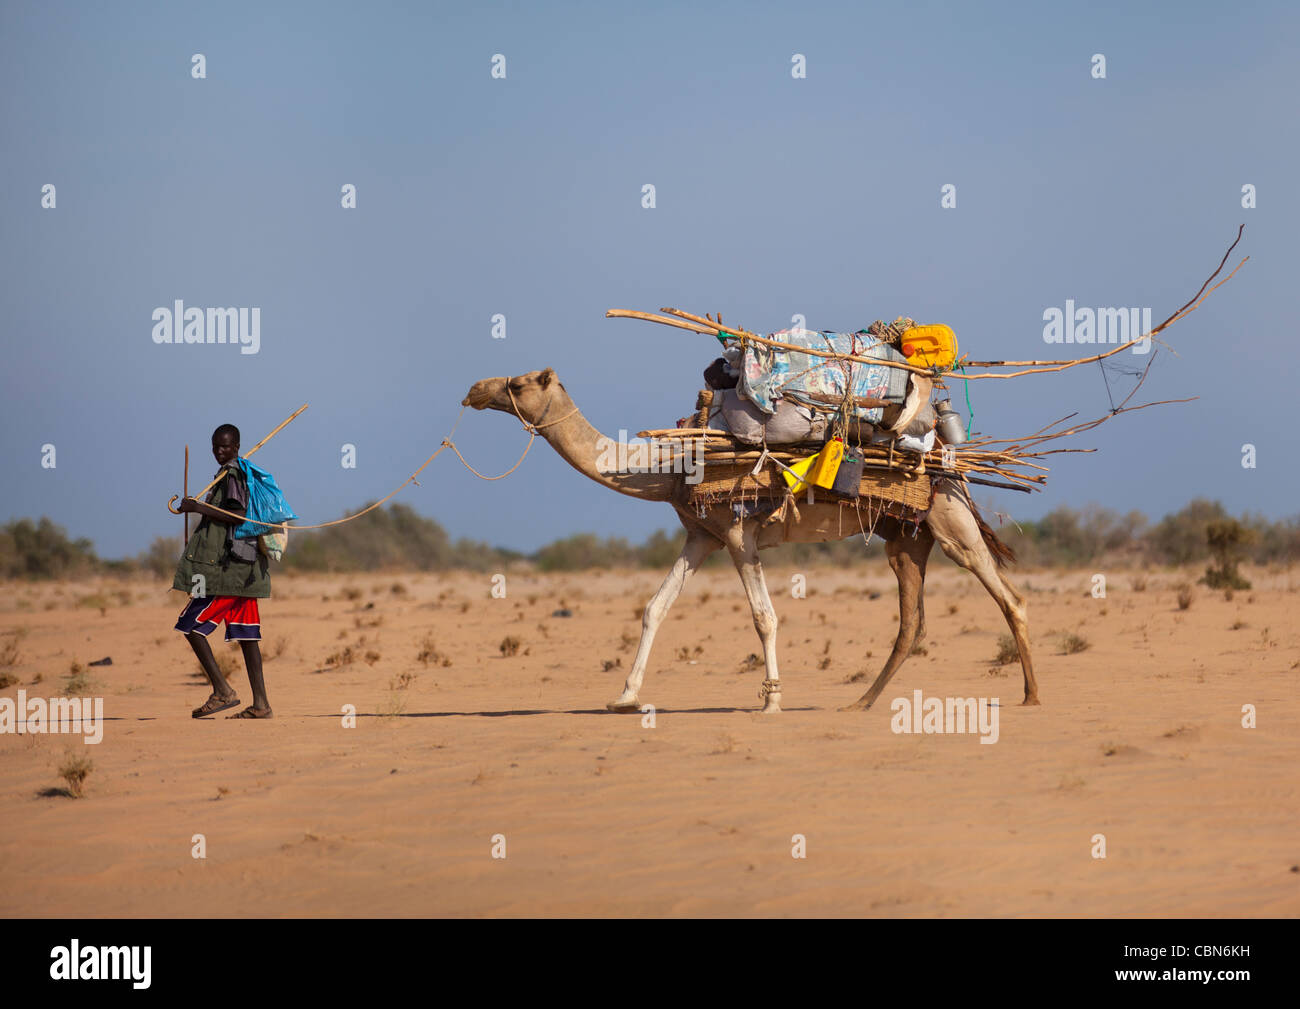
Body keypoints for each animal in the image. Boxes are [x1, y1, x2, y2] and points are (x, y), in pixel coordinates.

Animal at [462, 371, 1040, 717]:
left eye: (518, 384)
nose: (475, 389)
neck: (670, 466)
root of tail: (949, 456)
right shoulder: (702, 535)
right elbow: (655, 607)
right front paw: (624, 697)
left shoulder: (740, 534)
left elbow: (764, 617)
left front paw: (771, 703)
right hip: (907, 536)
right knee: (911, 621)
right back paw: (860, 702)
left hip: (948, 516)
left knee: (1007, 596)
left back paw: (1032, 695)